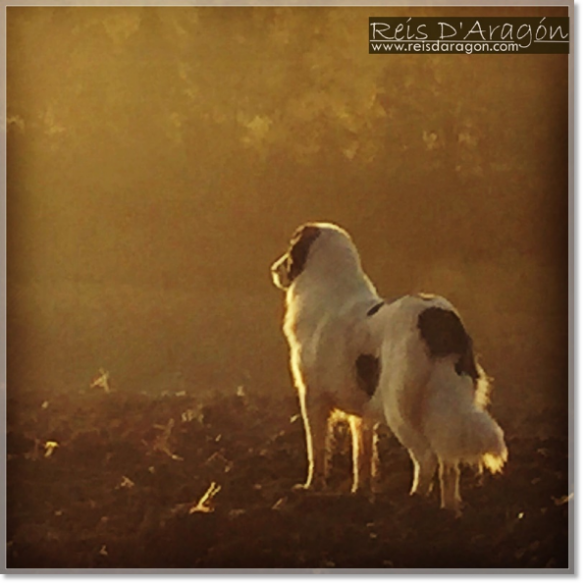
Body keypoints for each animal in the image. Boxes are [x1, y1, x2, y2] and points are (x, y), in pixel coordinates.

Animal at [272, 221, 504, 512]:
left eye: (290, 248)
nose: (274, 269)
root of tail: (440, 318)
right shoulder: (361, 414)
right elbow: (363, 456)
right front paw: (359, 493)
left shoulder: (312, 397)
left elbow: (317, 450)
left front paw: (311, 487)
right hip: (442, 407)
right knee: (448, 464)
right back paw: (448, 511)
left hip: (400, 408)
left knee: (427, 457)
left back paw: (413, 501)